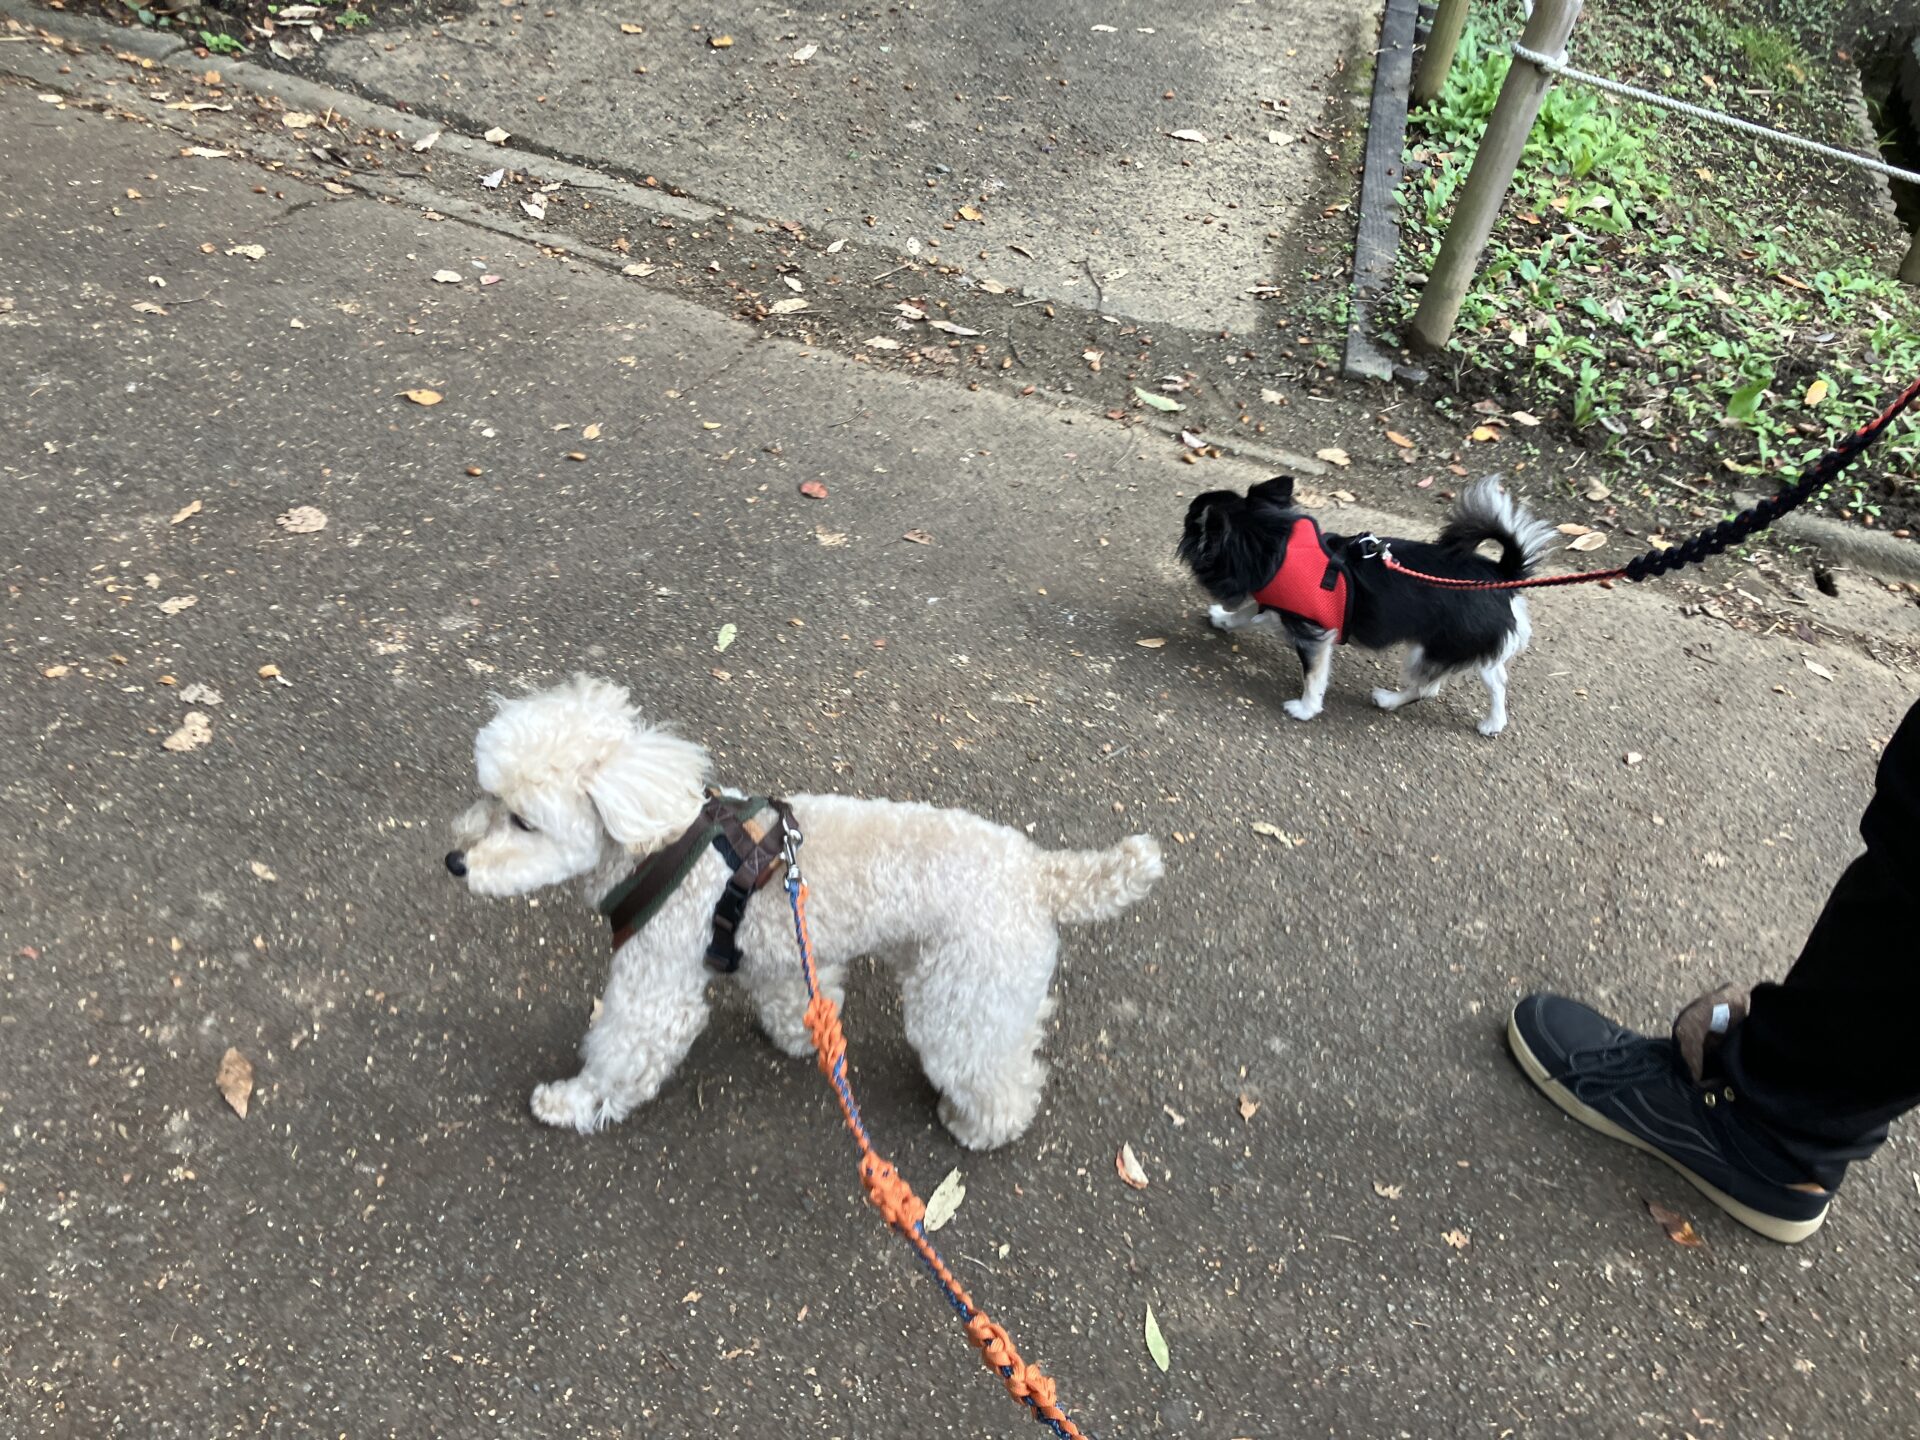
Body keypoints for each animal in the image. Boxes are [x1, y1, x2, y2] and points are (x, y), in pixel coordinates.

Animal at [444, 675, 1164, 1149]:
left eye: (524, 821)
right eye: (487, 793)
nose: (453, 861)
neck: (661, 841)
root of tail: (1041, 875)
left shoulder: (655, 986)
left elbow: (621, 1049)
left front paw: (570, 1102)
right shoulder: (786, 945)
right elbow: (796, 996)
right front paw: (799, 1036)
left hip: (965, 999)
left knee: (994, 1074)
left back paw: (978, 1127)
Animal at [1178, 475, 1555, 735]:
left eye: (1192, 519)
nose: (1187, 511)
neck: (1276, 546)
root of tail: (1501, 575)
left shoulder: (1313, 635)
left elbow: (1313, 677)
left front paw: (1305, 708)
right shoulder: (1279, 609)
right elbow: (1245, 614)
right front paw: (1223, 619)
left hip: (1430, 649)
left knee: (1428, 687)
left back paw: (1389, 700)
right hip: (1460, 647)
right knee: (1496, 680)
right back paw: (1494, 722)